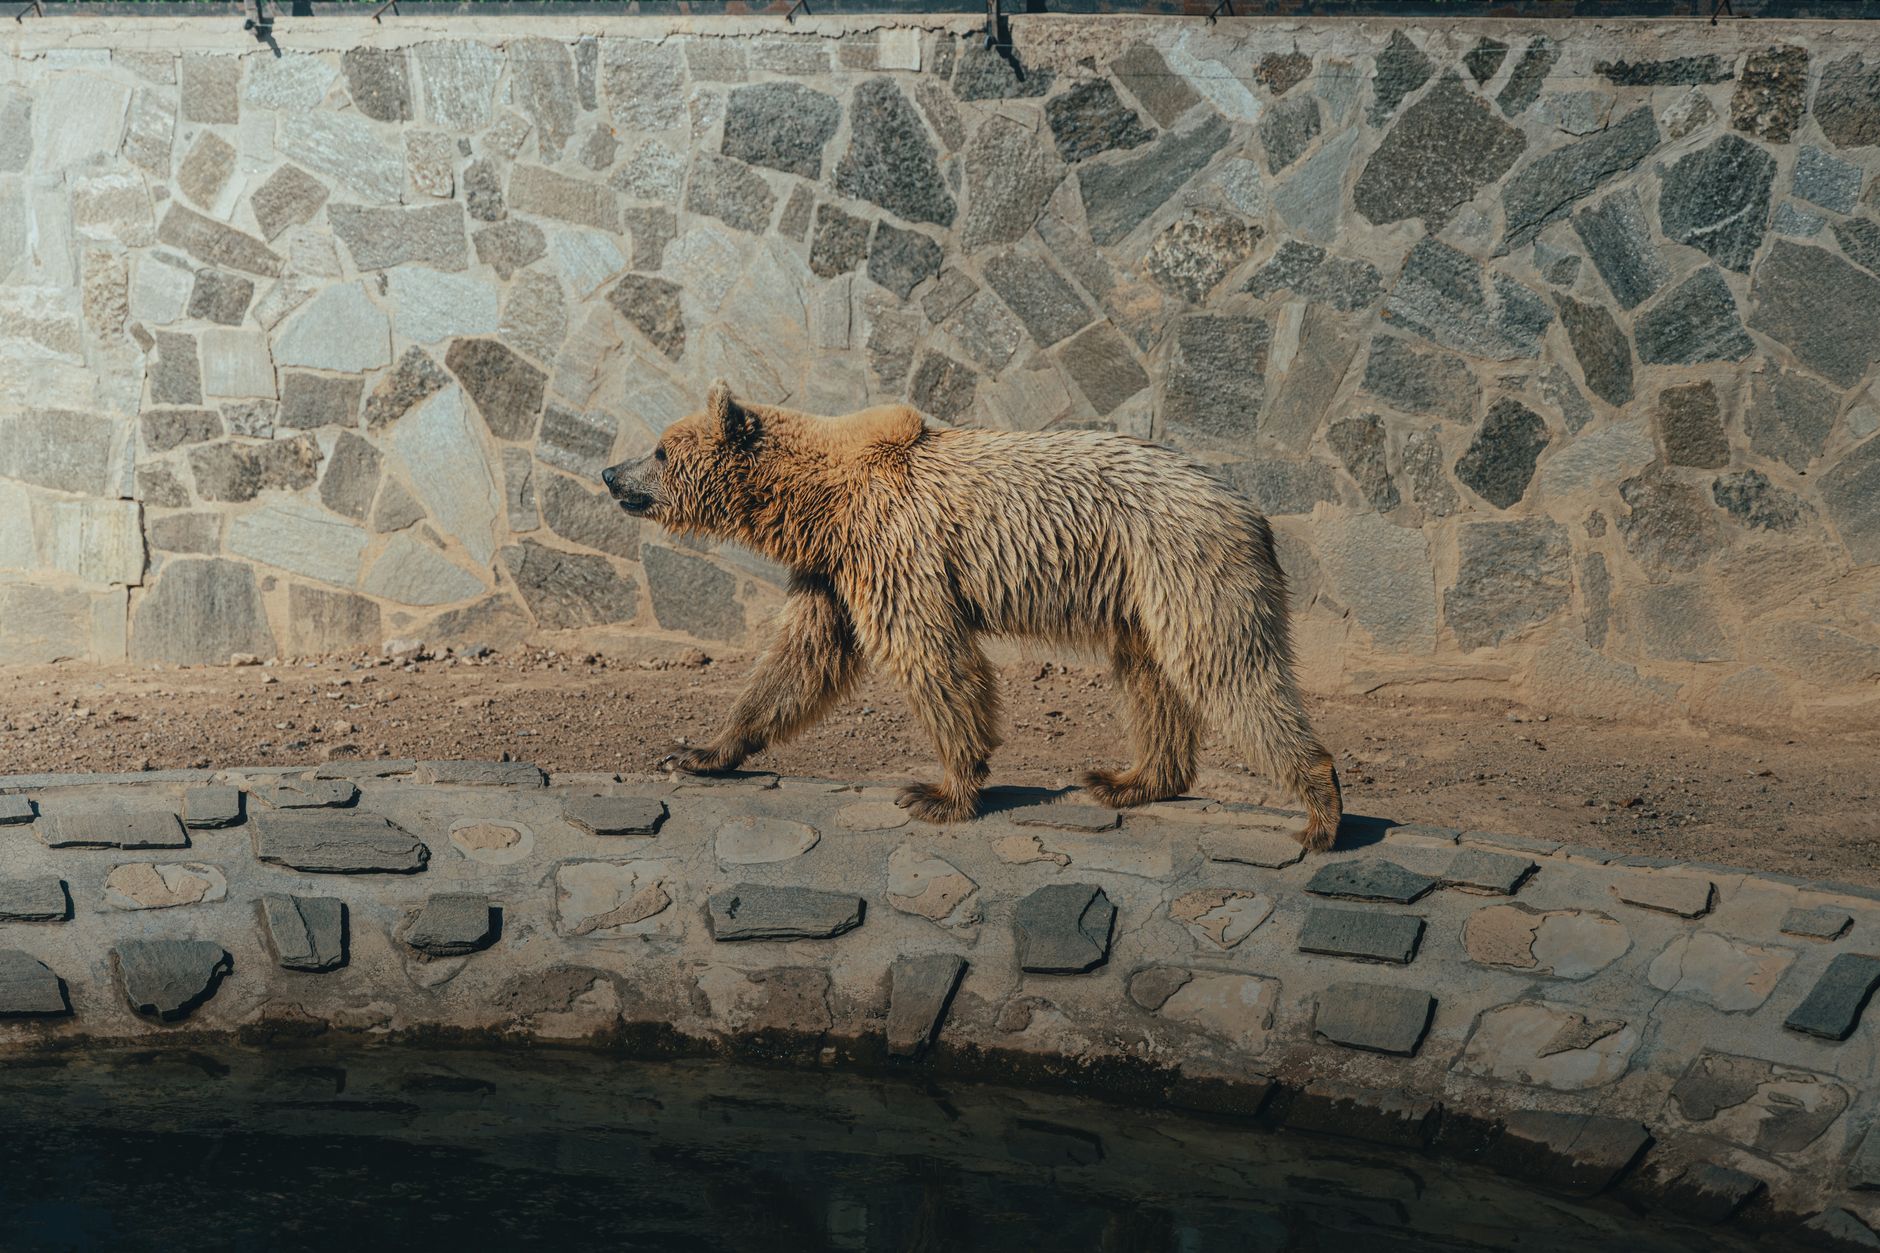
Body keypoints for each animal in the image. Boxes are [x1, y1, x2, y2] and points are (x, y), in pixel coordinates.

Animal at [603, 381, 1343, 851]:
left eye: (661, 448)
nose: (611, 474)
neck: (818, 501)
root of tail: (1252, 511)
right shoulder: (832, 571)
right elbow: (799, 660)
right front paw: (698, 751)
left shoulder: (894, 544)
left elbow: (930, 656)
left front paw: (940, 790)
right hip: (1142, 597)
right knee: (1152, 678)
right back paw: (1128, 779)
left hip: (1184, 566)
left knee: (1227, 669)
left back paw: (1319, 808)